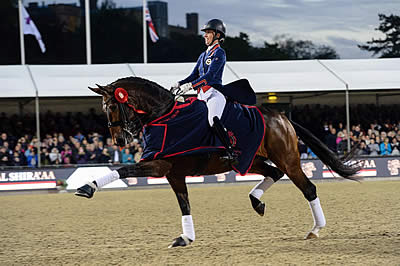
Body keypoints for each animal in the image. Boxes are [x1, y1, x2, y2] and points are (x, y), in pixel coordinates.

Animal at [74, 76, 360, 247]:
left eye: (112, 107)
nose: (120, 140)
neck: (163, 115)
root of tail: (282, 117)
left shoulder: (159, 165)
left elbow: (123, 169)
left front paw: (87, 187)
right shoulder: (173, 173)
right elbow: (184, 205)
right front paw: (186, 237)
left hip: (288, 160)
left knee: (308, 188)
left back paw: (315, 229)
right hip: (249, 160)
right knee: (273, 173)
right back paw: (256, 201)